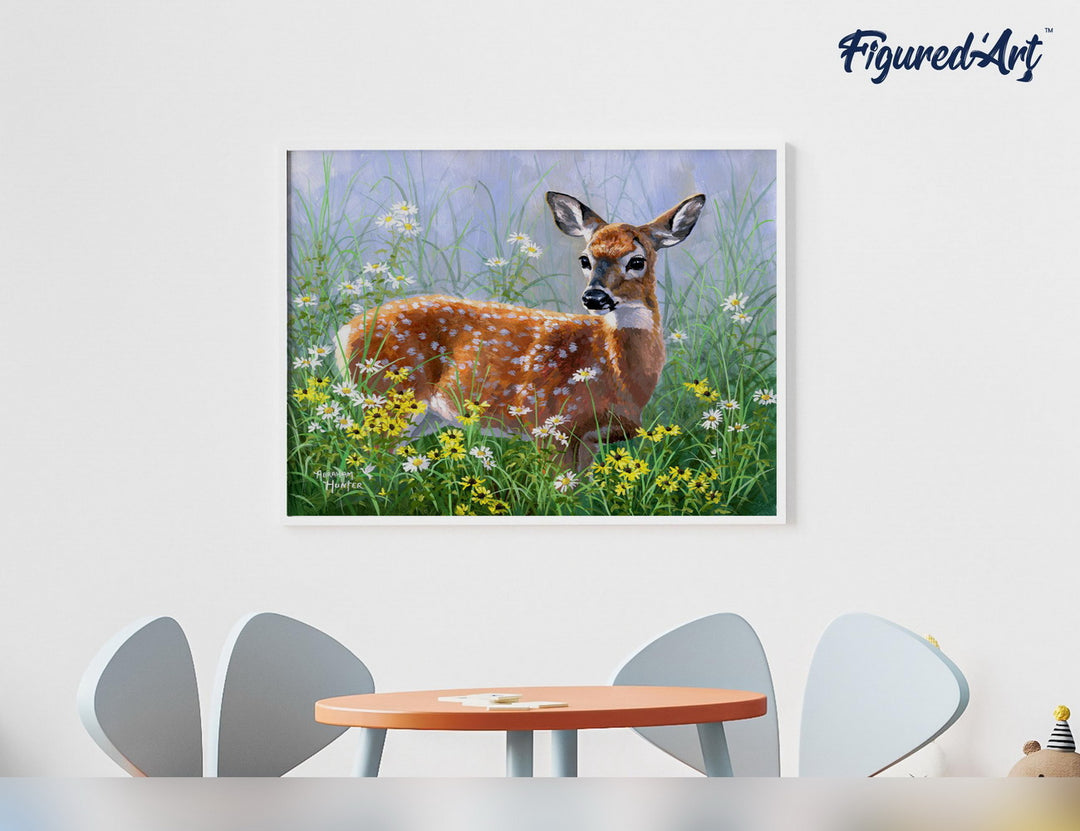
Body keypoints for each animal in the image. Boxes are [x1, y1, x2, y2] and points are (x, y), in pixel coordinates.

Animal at [335, 191, 706, 469]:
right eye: (584, 259)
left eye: (637, 260)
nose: (594, 297)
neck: (614, 371)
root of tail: (342, 334)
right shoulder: (551, 425)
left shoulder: (589, 439)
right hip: (388, 400)